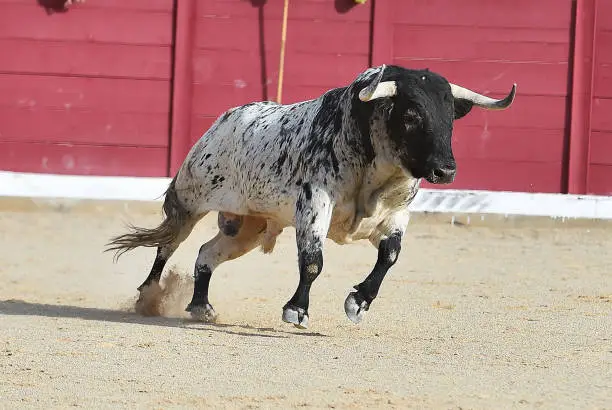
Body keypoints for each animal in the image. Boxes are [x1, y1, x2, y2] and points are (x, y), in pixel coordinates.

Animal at [106, 65, 516, 332]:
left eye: (450, 116)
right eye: (412, 113)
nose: (446, 171)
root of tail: (223, 122)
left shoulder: (396, 215)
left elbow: (390, 256)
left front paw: (358, 302)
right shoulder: (313, 206)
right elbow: (313, 261)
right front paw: (297, 310)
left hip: (250, 226)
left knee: (207, 253)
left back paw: (201, 306)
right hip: (191, 199)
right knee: (168, 244)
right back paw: (148, 294)